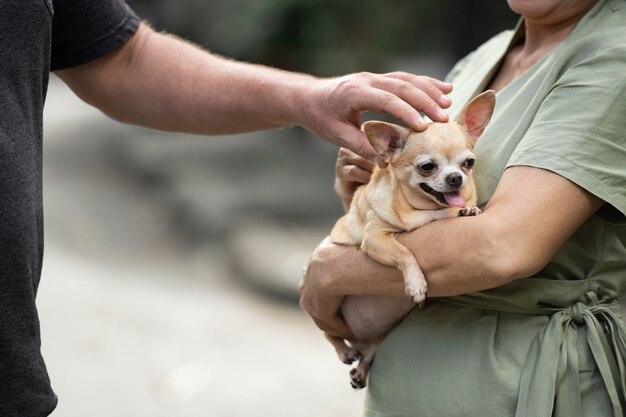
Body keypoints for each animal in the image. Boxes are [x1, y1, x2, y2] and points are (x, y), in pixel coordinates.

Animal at [324, 90, 494, 386]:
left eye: (469, 163)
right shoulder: (375, 238)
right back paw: (345, 351)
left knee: (369, 349)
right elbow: (404, 252)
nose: (456, 178)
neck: (427, 211)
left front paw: (468, 209)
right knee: (330, 334)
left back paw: (361, 370)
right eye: (427, 167)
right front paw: (416, 284)